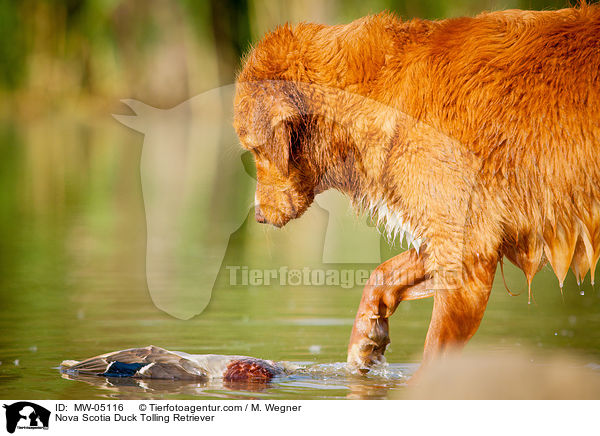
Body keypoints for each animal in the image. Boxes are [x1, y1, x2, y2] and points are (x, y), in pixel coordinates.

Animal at [233, 5, 600, 372]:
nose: (259, 216)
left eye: (254, 150)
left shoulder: (466, 251)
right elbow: (383, 273)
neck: (379, 96)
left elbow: (435, 348)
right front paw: (367, 336)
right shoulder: (465, 234)